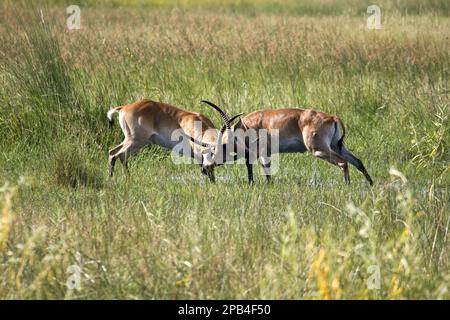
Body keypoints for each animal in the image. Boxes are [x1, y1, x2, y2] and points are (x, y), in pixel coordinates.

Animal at [107, 99, 244, 181]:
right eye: (212, 152)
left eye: (223, 156)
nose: (208, 165)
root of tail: (125, 107)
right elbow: (207, 173)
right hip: (135, 140)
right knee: (118, 155)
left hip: (134, 141)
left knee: (113, 152)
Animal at [189, 101, 372, 186]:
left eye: (216, 150)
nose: (205, 168)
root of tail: (332, 117)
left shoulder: (261, 152)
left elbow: (261, 169)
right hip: (336, 146)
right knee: (357, 161)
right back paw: (371, 184)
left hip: (319, 149)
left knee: (343, 162)